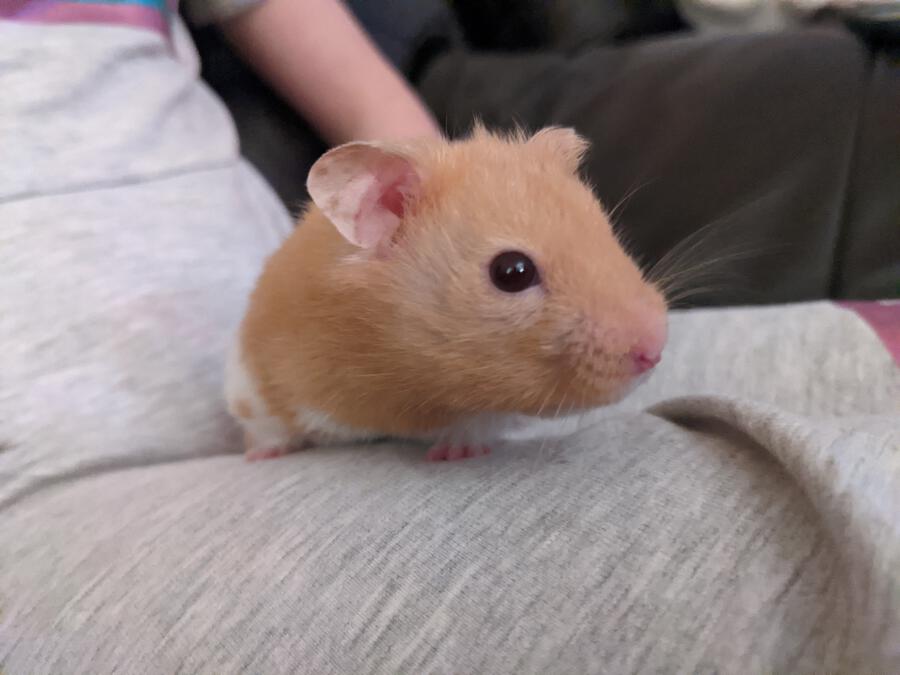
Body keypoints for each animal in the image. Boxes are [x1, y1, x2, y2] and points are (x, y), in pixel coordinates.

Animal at [226, 125, 667, 462]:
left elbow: (478, 422)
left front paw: (454, 453)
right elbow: (264, 420)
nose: (656, 348)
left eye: (607, 233)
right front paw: (259, 456)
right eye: (512, 272)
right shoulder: (252, 372)